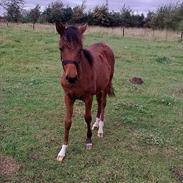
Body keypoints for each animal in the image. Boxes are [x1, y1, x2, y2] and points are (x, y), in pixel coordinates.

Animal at [55, 22, 114, 162]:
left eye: (80, 49)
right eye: (61, 48)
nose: (71, 77)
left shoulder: (88, 97)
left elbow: (87, 117)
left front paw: (88, 141)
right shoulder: (68, 97)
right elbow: (67, 121)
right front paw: (63, 151)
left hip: (105, 86)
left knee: (103, 104)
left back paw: (100, 129)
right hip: (98, 89)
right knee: (99, 103)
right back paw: (96, 125)